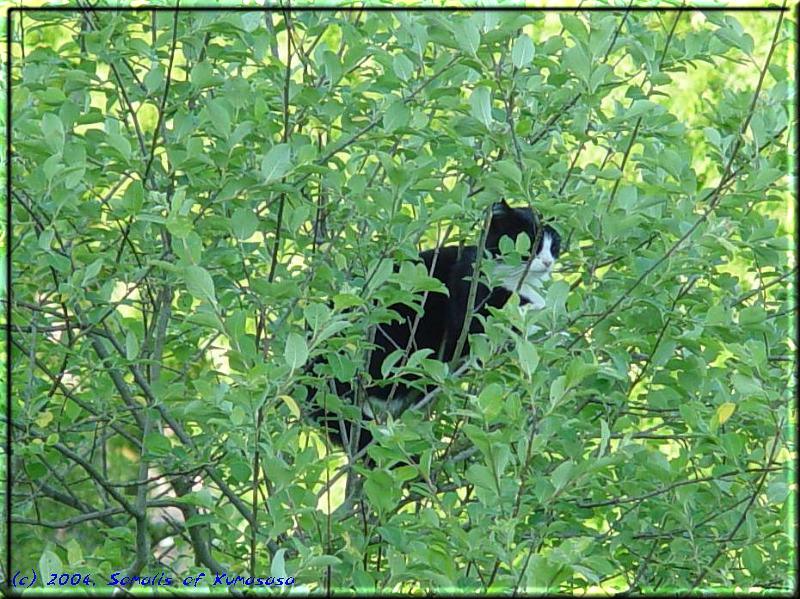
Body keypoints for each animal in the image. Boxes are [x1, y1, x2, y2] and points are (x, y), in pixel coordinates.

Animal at [310, 202, 560, 460]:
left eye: (555, 245)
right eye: (531, 242)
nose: (548, 262)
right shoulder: (470, 290)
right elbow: (492, 315)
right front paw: (538, 308)